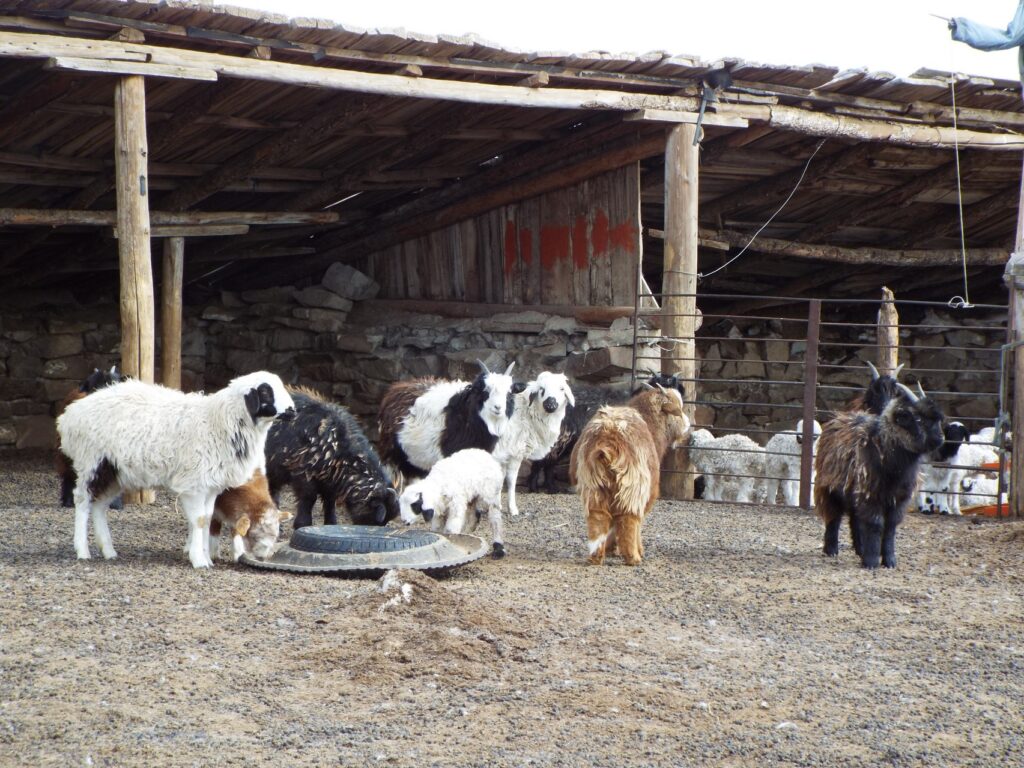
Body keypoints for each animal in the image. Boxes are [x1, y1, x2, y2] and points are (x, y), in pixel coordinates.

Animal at [265, 387, 399, 529]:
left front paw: (331, 523)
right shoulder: (303, 473)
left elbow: (330, 502)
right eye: (377, 519)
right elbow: (309, 498)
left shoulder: (329, 482)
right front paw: (302, 525)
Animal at [378, 360, 516, 483]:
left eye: (508, 394)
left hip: (416, 461)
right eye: (486, 391)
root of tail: (395, 390)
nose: (498, 408)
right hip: (391, 459)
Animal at [492, 371, 573, 516]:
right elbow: (511, 480)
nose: (550, 404)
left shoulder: (503, 454)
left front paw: (497, 506)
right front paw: (512, 509)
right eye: (542, 389)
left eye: (561, 389)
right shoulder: (515, 452)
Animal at [570, 386, 691, 566]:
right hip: (633, 485)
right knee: (628, 518)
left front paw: (612, 548)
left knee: (598, 517)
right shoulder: (648, 492)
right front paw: (635, 549)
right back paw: (633, 557)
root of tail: (608, 440)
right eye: (678, 409)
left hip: (595, 485)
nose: (688, 424)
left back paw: (596, 556)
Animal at [815, 383, 944, 569]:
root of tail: (838, 417)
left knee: (855, 518)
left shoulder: (899, 498)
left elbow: (890, 526)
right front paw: (871, 561)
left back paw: (860, 549)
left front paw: (889, 560)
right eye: (918, 419)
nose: (940, 438)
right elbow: (876, 524)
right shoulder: (871, 494)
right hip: (829, 487)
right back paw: (831, 549)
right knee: (834, 515)